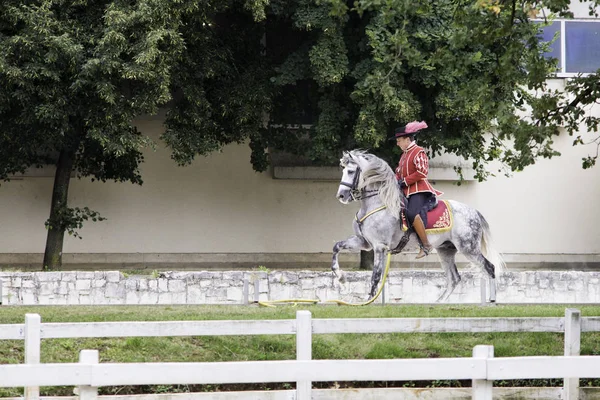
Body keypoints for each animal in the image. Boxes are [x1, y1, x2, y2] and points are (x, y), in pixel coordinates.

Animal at [330, 150, 504, 304]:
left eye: (351, 171)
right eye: (343, 170)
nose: (341, 196)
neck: (376, 204)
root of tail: (474, 211)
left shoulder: (379, 246)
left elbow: (376, 276)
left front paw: (369, 300)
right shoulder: (363, 242)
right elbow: (336, 247)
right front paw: (341, 277)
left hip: (468, 248)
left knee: (490, 267)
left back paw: (493, 300)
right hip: (446, 250)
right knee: (454, 278)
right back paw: (438, 302)